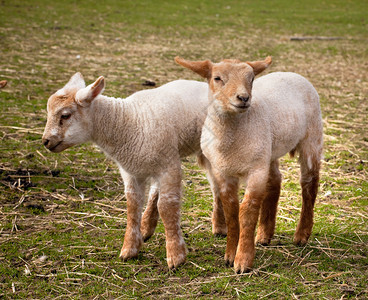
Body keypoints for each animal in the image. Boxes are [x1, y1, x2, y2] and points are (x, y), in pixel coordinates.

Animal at [41, 73, 229, 270]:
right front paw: (129, 249)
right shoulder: (131, 172)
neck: (128, 122)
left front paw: (176, 255)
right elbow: (132, 207)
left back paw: (219, 225)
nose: (45, 141)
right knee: (156, 190)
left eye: (65, 115)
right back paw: (146, 226)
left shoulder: (169, 167)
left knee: (216, 184)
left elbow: (167, 207)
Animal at [177, 55, 324, 274]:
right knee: (275, 182)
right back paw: (264, 234)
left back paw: (301, 235)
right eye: (217, 78)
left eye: (252, 78)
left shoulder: (255, 171)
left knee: (309, 185)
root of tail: (292, 73)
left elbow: (248, 210)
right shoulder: (222, 171)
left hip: (311, 138)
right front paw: (230, 255)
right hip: (268, 151)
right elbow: (231, 211)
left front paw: (243, 260)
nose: (243, 98)